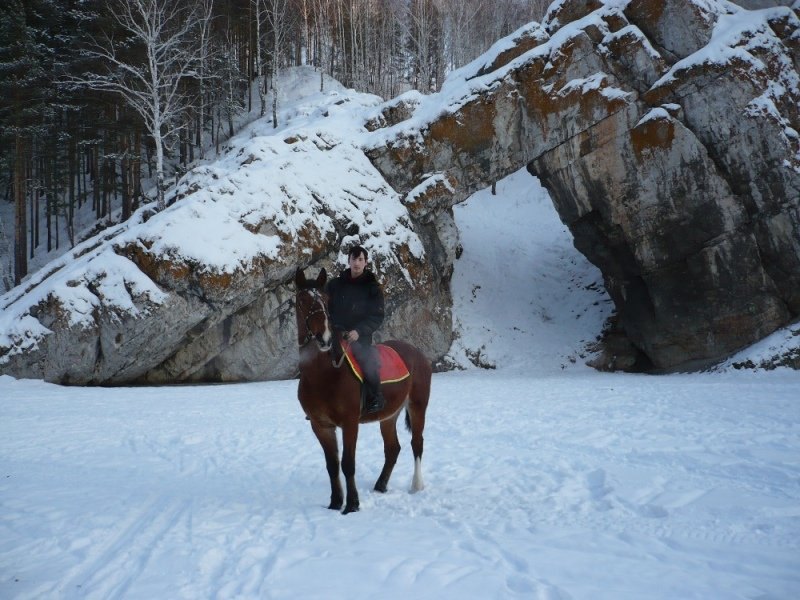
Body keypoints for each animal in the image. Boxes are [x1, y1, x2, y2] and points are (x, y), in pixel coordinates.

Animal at [294, 270, 432, 512]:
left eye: (325, 299)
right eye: (302, 300)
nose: (324, 337)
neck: (323, 374)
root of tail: (417, 353)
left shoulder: (350, 423)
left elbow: (348, 464)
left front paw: (352, 505)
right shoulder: (320, 426)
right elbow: (332, 465)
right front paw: (335, 502)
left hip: (418, 406)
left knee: (417, 444)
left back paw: (416, 485)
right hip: (389, 416)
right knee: (393, 449)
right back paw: (380, 485)